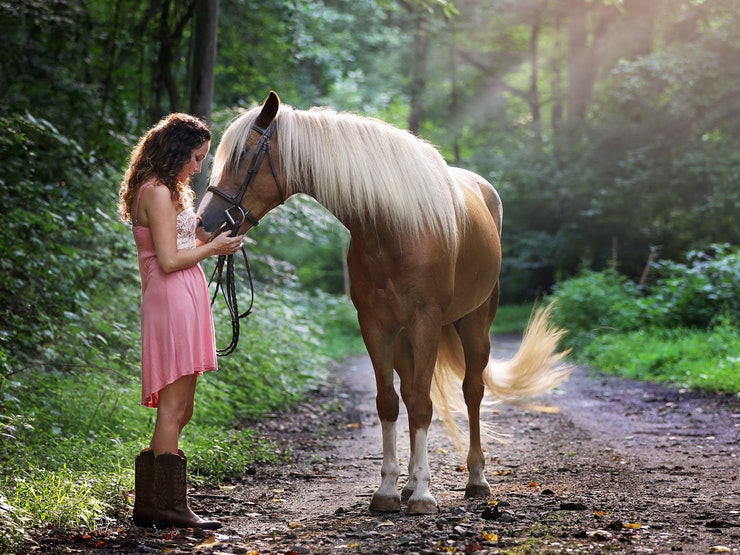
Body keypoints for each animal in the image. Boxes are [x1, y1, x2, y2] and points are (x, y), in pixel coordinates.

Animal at [196, 91, 571, 515]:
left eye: (243, 154)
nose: (204, 223)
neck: (393, 228)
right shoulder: (375, 325)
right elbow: (390, 403)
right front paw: (390, 490)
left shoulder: (426, 322)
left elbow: (424, 404)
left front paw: (424, 495)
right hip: (405, 339)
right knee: (409, 392)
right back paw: (409, 484)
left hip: (475, 324)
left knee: (471, 391)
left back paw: (476, 479)